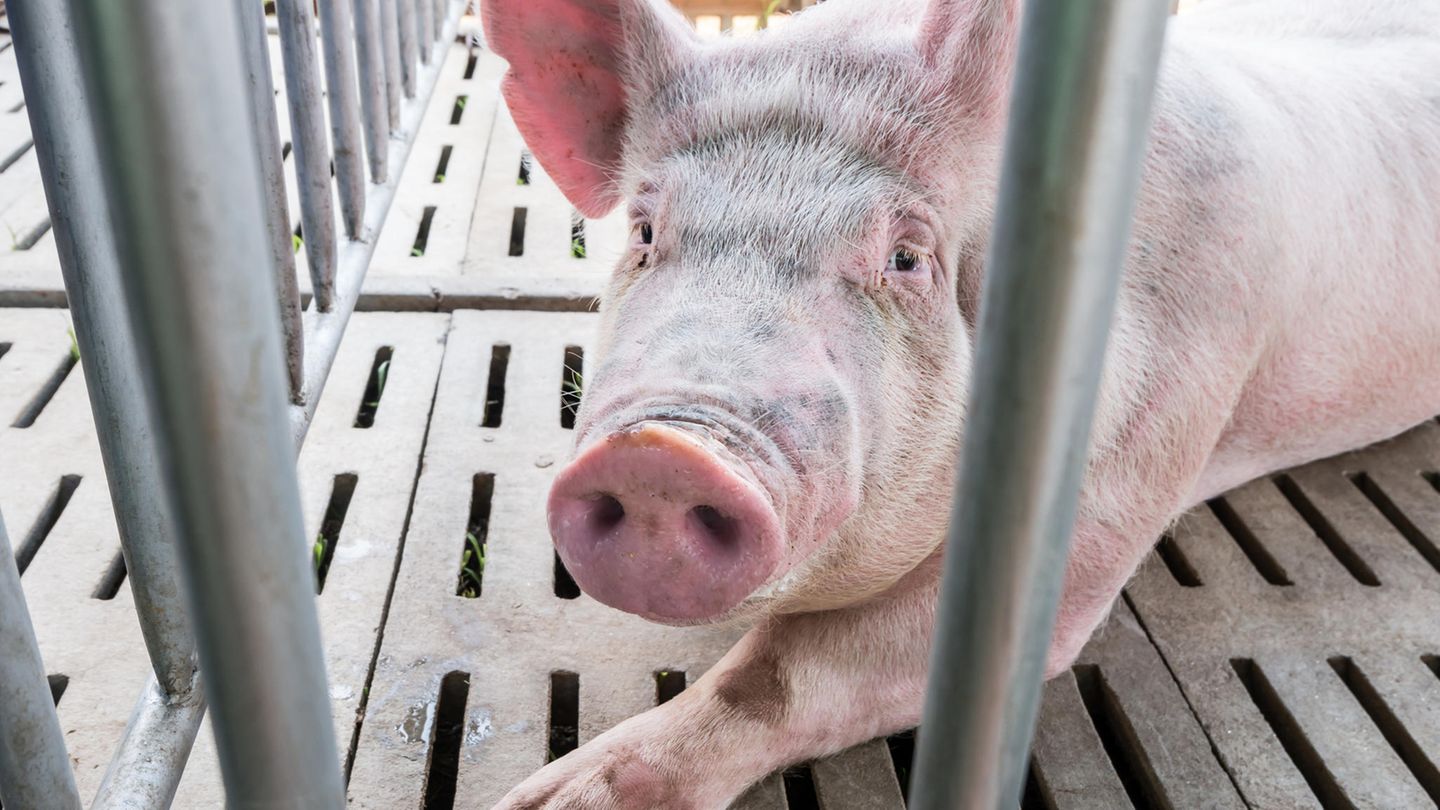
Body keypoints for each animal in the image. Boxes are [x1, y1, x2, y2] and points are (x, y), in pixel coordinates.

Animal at [480, 0, 1440, 805]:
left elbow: (787, 672)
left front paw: (555, 800)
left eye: (907, 257)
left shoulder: (1146, 446)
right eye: (644, 232)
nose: (662, 454)